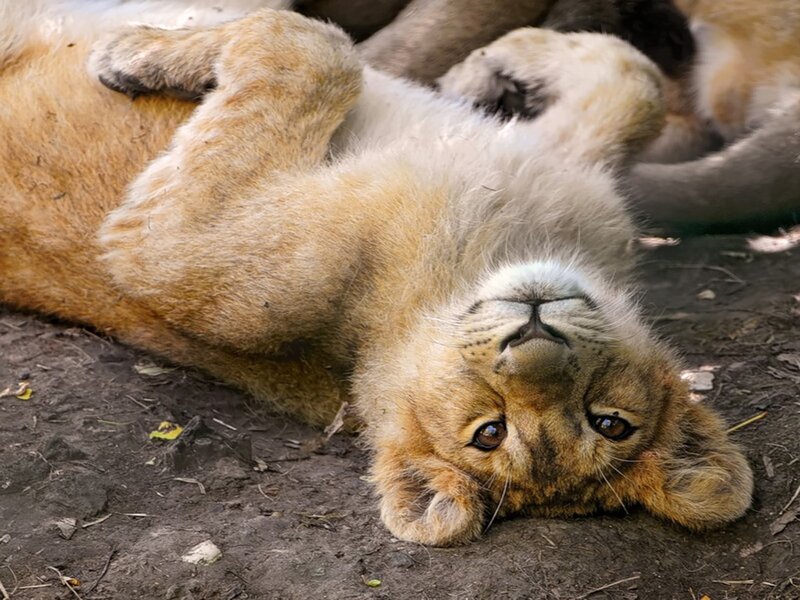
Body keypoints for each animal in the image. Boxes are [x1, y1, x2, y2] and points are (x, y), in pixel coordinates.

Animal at [0, 2, 752, 546]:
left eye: (607, 424)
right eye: (490, 430)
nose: (534, 336)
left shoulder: (163, 247)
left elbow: (313, 49)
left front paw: (128, 51)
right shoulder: (553, 164)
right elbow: (635, 80)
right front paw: (488, 65)